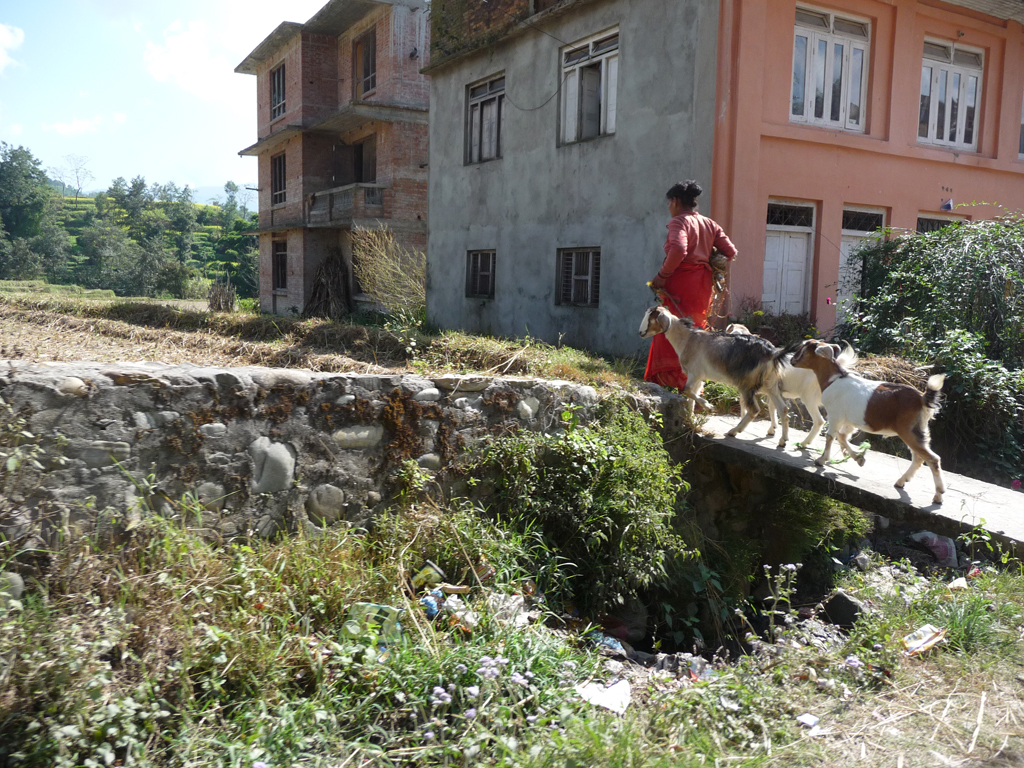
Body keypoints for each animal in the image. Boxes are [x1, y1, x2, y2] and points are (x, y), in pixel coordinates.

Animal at [638, 307, 790, 448]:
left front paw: (709, 407)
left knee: (754, 410)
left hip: (747, 384)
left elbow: (686, 390)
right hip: (770, 384)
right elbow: (690, 396)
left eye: (651, 317)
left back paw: (734, 431)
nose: (640, 333)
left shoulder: (695, 373)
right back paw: (782, 441)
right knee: (783, 409)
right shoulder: (698, 378)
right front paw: (691, 419)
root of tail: (771, 351)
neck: (688, 339)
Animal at [786, 339, 946, 507]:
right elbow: (842, 437)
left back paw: (938, 496)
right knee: (919, 457)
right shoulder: (848, 422)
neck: (833, 379)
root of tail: (922, 398)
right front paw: (859, 459)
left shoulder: (835, 415)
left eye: (804, 349)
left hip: (908, 430)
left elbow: (830, 437)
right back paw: (901, 481)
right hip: (917, 430)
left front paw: (821, 460)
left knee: (932, 459)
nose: (792, 361)